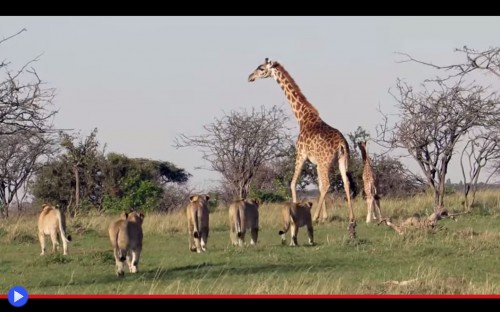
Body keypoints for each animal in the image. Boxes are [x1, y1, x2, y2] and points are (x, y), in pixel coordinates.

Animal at [248, 58, 358, 239]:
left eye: (261, 68)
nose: (250, 77)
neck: (302, 117)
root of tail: (342, 144)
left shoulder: (301, 154)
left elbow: (293, 183)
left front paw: (297, 213)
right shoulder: (315, 162)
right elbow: (318, 186)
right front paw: (325, 217)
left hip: (325, 162)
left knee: (327, 184)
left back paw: (314, 216)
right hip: (342, 160)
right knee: (345, 183)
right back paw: (352, 218)